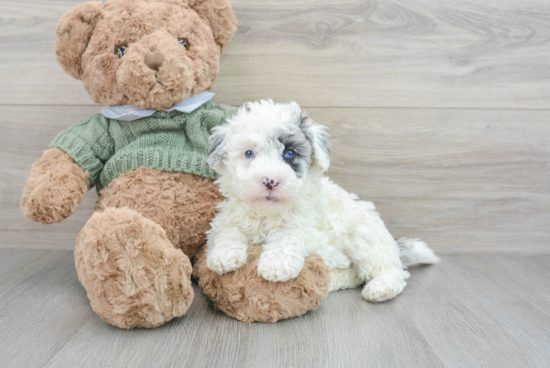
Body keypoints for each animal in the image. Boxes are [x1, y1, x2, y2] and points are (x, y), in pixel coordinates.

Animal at [205, 99, 442, 300]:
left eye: (290, 153)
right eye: (249, 153)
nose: (270, 181)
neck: (268, 214)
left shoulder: (309, 229)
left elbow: (289, 234)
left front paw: (277, 263)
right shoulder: (229, 217)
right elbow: (227, 230)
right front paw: (224, 255)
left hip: (365, 237)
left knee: (391, 271)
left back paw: (381, 288)